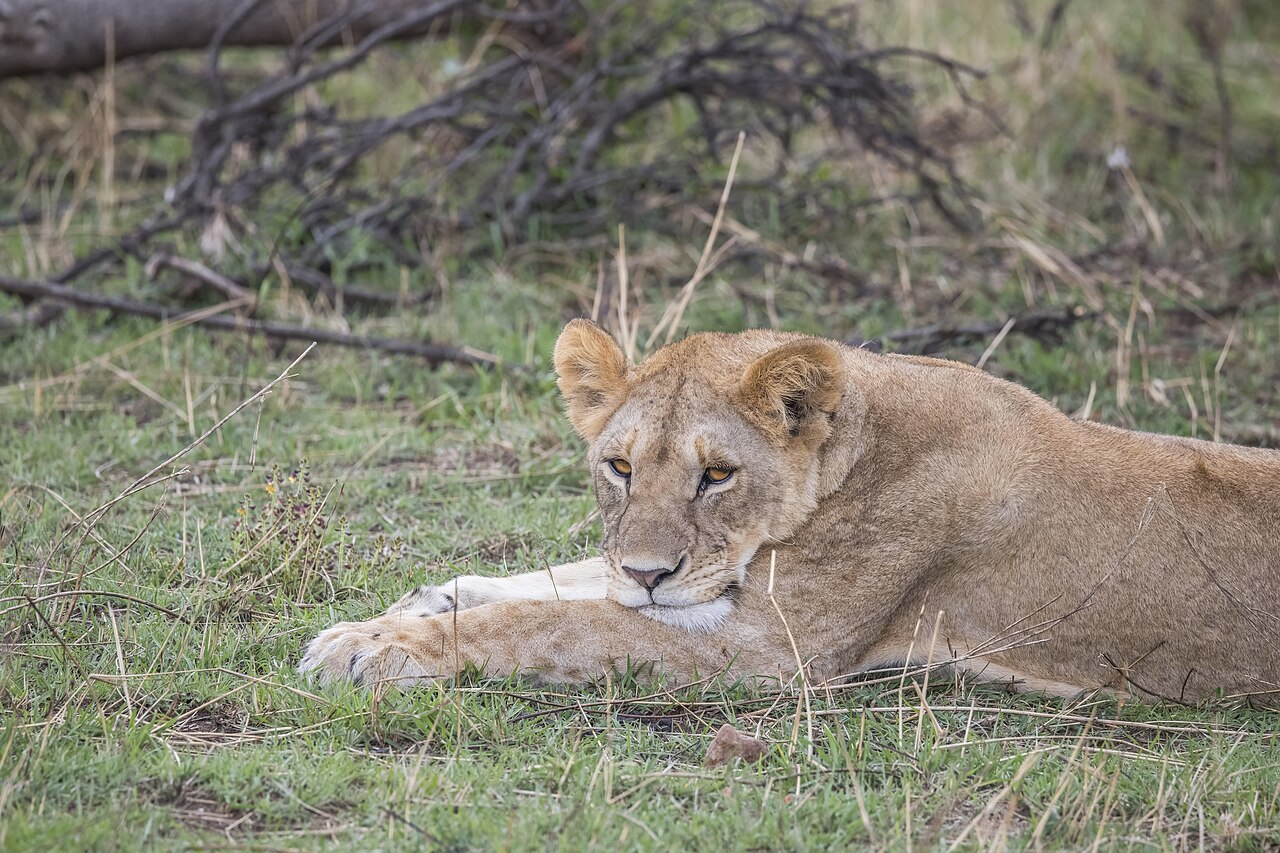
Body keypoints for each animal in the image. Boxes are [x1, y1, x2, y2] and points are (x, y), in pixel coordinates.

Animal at [300, 319, 1280, 706]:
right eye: (619, 466)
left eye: (717, 474)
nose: (650, 572)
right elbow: (553, 583)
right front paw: (389, 615)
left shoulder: (770, 649)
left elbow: (552, 621)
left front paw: (383, 649)